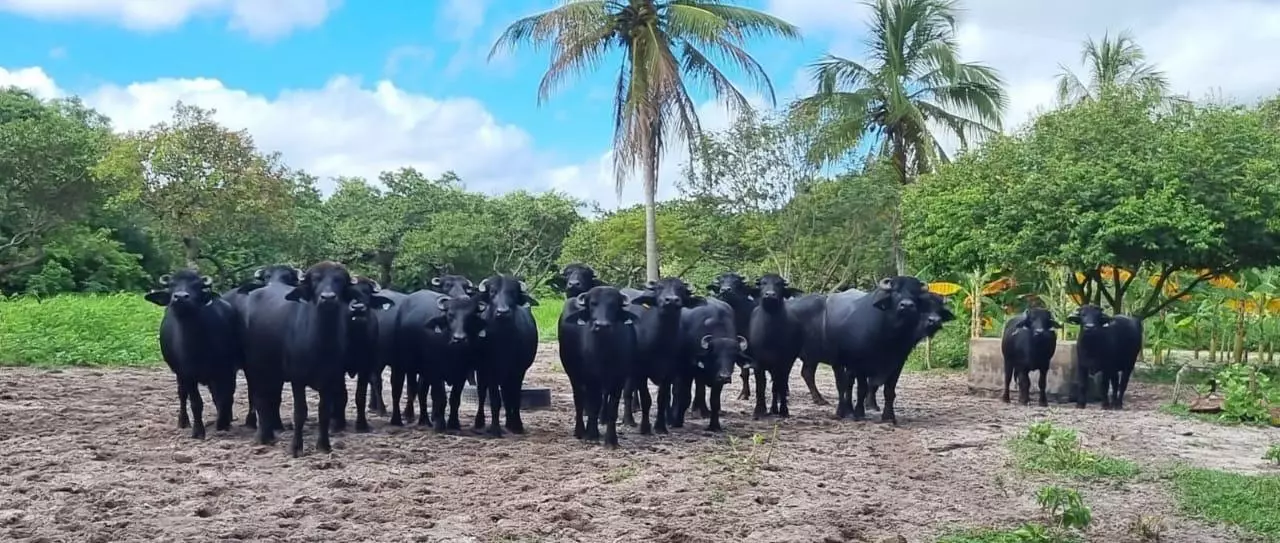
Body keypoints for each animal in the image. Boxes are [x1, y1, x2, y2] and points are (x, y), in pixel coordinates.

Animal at [147, 268, 241, 437]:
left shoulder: (226, 370)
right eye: (171, 286)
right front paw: (198, 431)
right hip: (179, 375)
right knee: (182, 394)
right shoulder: (187, 374)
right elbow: (196, 402)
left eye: (197, 286)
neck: (197, 345)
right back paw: (183, 421)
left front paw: (223, 423)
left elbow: (225, 396)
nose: (180, 297)